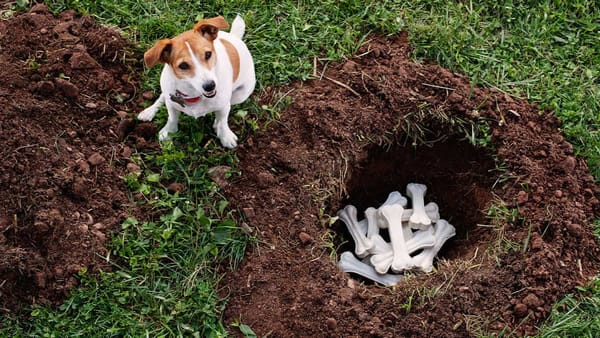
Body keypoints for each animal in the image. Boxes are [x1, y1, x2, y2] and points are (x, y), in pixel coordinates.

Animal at [137, 15, 254, 148]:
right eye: (183, 65)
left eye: (208, 54)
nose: (210, 86)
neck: (195, 94)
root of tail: (234, 37)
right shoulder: (172, 102)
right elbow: (172, 118)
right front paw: (169, 131)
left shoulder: (224, 105)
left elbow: (223, 121)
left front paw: (225, 135)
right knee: (163, 96)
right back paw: (149, 111)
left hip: (241, 95)